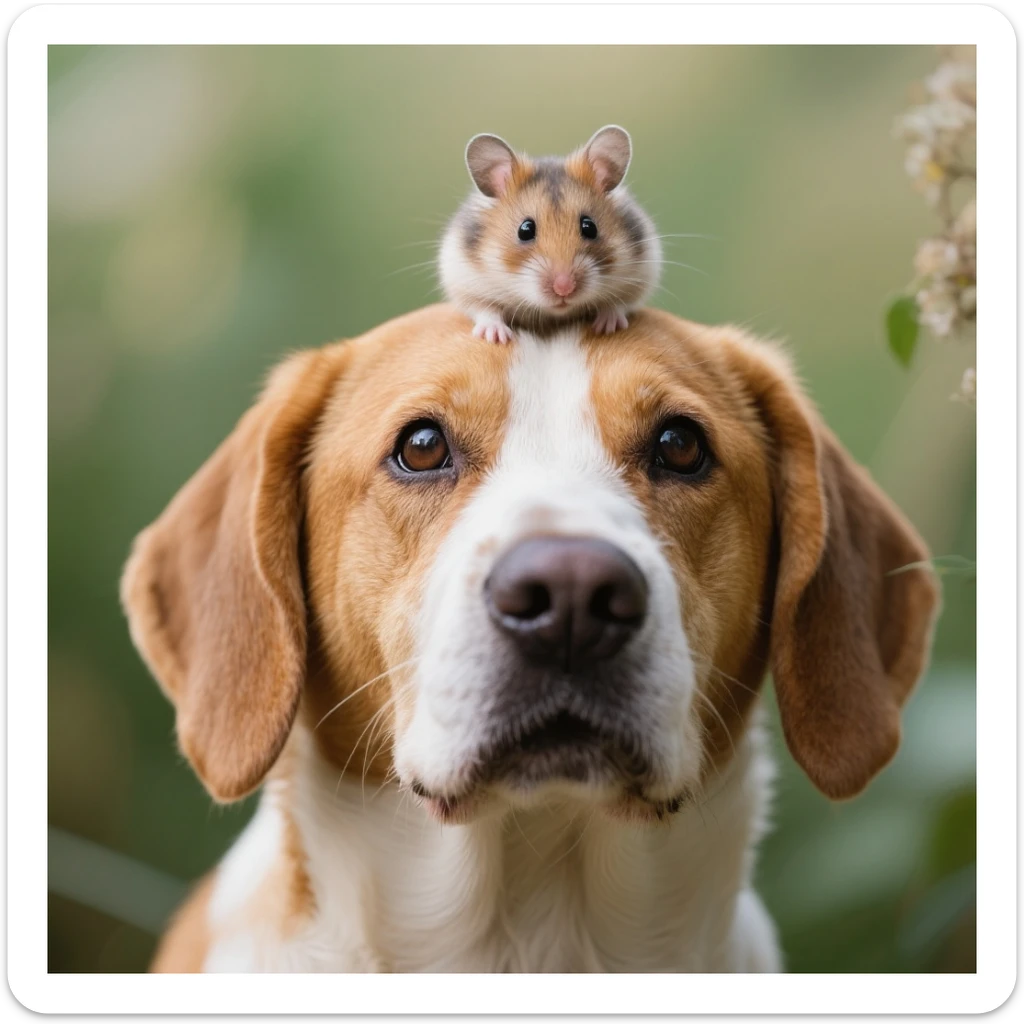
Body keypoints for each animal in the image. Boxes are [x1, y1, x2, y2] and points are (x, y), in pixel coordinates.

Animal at [439, 125, 662, 344]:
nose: (564, 289)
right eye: (525, 230)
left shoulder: (641, 275)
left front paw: (607, 327)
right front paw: (496, 337)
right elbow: (484, 309)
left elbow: (618, 303)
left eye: (589, 227)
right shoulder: (464, 280)